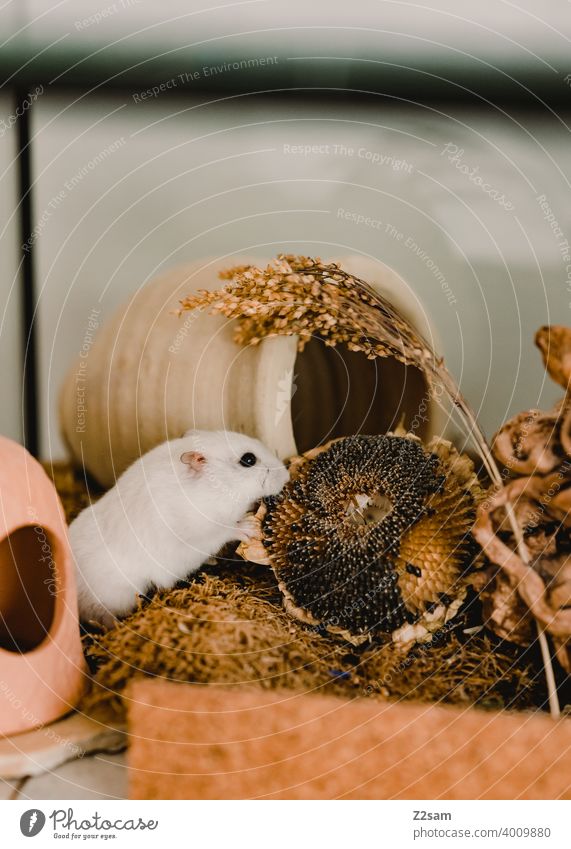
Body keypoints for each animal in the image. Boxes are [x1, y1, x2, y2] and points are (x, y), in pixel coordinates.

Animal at [68, 430, 288, 624]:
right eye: (248, 459)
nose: (286, 477)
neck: (213, 490)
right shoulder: (198, 534)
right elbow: (224, 529)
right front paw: (250, 526)